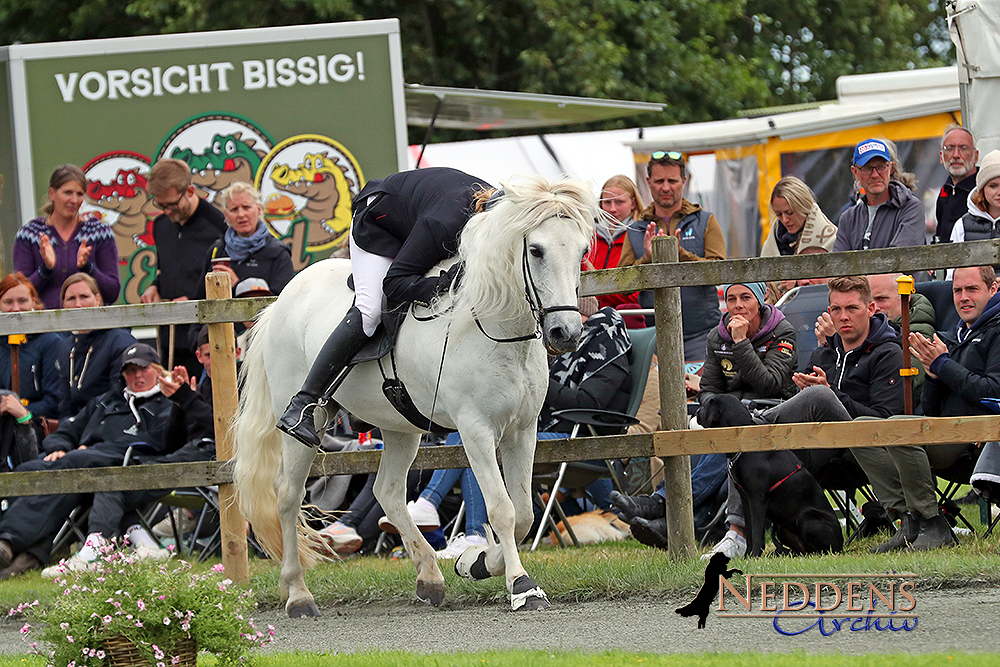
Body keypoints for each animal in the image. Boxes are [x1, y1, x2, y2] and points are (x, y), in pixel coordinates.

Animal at [233, 175, 592, 620]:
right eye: (536, 250)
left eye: (582, 250)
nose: (566, 333)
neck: (497, 327)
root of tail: (280, 301)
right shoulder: (475, 430)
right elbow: (503, 510)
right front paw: (522, 586)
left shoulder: (522, 431)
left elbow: (524, 513)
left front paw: (474, 563)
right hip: (307, 423)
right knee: (287, 495)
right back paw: (299, 594)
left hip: (401, 425)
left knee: (386, 491)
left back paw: (429, 577)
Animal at [696, 396, 844, 560]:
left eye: (704, 405)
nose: (696, 411)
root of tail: (842, 544)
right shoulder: (745, 499)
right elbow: (749, 531)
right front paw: (747, 556)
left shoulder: (757, 499)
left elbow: (757, 532)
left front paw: (754, 555)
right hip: (781, 528)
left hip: (806, 519)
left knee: (824, 550)